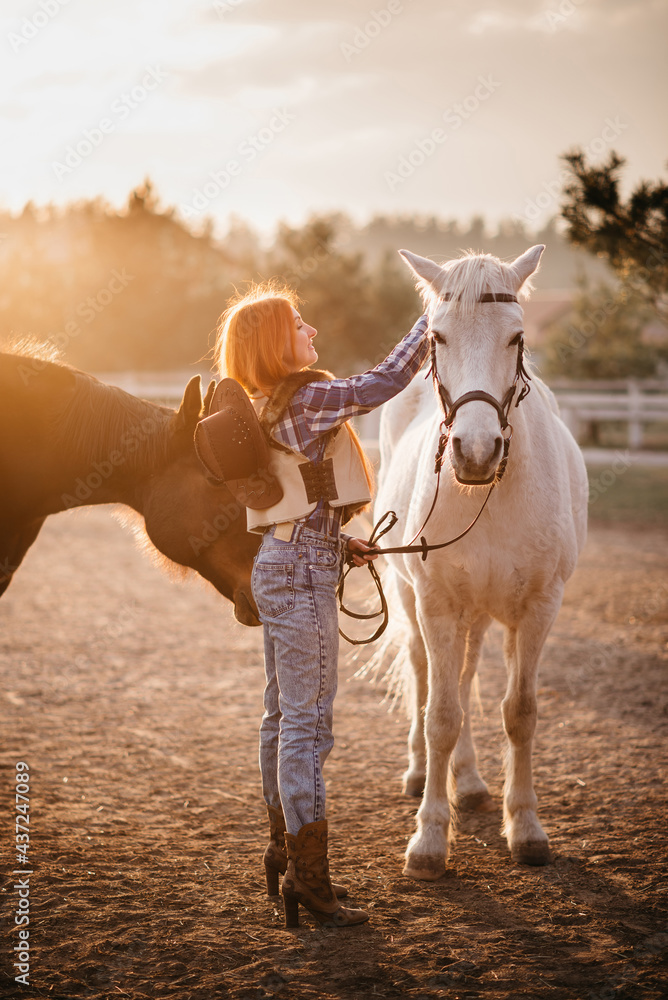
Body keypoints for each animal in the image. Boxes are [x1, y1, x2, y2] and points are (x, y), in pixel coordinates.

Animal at [374, 245, 588, 880]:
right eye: (437, 336)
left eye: (516, 337)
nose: (474, 451)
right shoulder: (436, 603)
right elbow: (440, 714)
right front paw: (428, 841)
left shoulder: (539, 606)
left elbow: (519, 712)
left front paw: (527, 829)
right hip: (415, 600)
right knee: (426, 676)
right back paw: (425, 772)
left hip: (479, 615)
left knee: (465, 679)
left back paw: (466, 783)